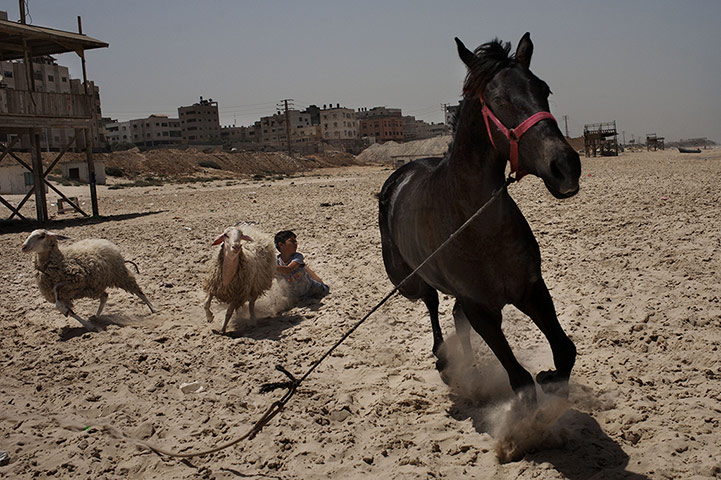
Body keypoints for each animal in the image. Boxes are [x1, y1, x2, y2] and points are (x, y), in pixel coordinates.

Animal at [21, 229, 156, 331]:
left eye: (42, 236)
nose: (24, 247)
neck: (61, 260)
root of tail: (105, 242)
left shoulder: (75, 281)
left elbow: (56, 289)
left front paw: (64, 310)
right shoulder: (65, 295)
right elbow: (69, 311)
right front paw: (88, 325)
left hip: (119, 274)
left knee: (138, 291)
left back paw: (153, 309)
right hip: (95, 286)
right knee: (104, 296)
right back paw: (96, 317)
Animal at [378, 33, 581, 405]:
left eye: (544, 89)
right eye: (499, 99)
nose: (566, 166)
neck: (477, 226)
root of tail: (399, 174)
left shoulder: (532, 290)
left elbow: (564, 352)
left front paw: (549, 377)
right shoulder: (482, 311)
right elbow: (520, 382)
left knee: (453, 314)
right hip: (407, 281)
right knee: (430, 301)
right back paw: (444, 358)